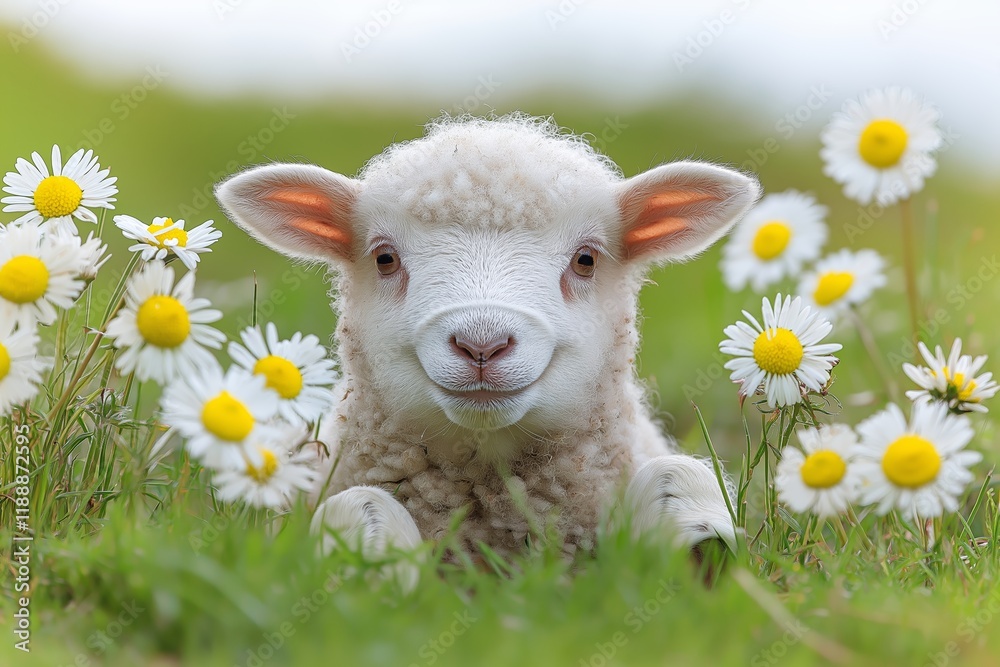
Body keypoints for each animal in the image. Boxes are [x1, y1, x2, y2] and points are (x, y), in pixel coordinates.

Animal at [215, 114, 760, 570]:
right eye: (385, 258)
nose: (482, 345)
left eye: (585, 259)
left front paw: (702, 543)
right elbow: (360, 505)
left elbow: (680, 473)